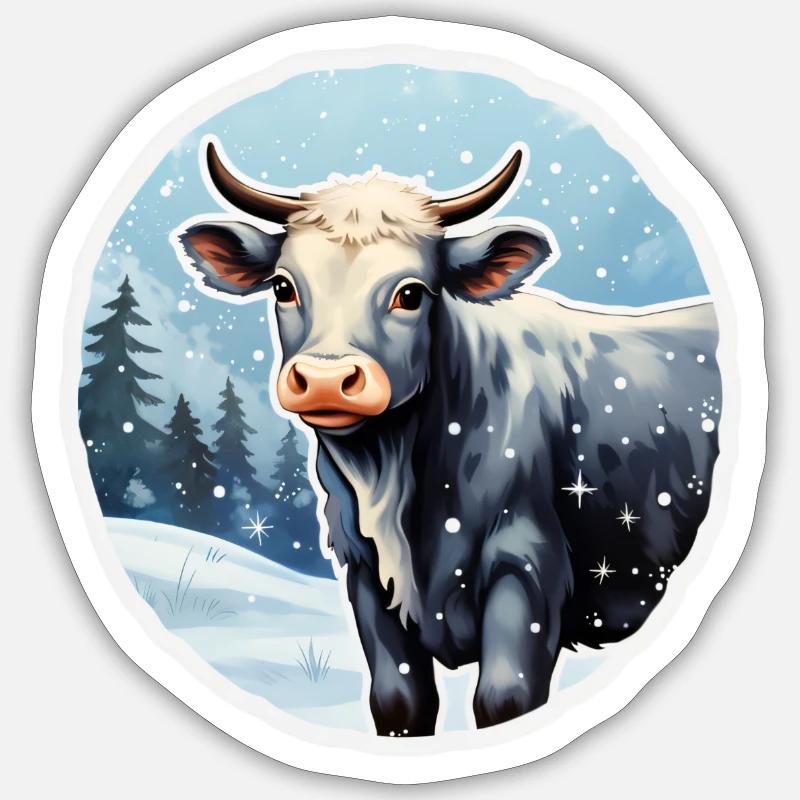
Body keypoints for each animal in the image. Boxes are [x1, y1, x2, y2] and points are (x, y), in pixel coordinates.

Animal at [174, 138, 721, 736]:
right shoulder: (366, 575)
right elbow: (399, 702)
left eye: (411, 293)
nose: (325, 379)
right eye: (282, 286)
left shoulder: (526, 565)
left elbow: (504, 700)